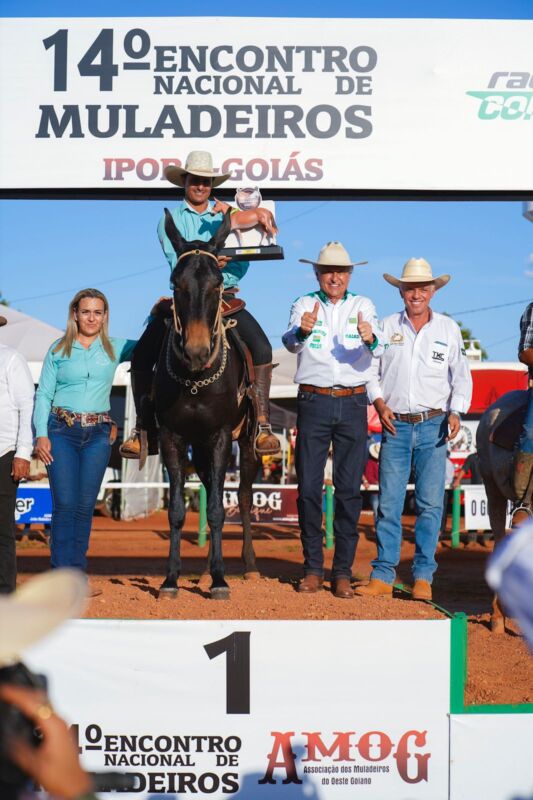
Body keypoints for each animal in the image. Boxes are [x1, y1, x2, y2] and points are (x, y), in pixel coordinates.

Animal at [154, 208, 260, 599]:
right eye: (176, 285)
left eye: (217, 285)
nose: (197, 350)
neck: (196, 379)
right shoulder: (171, 437)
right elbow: (177, 511)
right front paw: (171, 579)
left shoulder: (221, 437)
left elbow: (216, 510)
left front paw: (220, 579)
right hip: (197, 449)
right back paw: (199, 572)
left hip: (246, 443)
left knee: (241, 495)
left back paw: (248, 566)